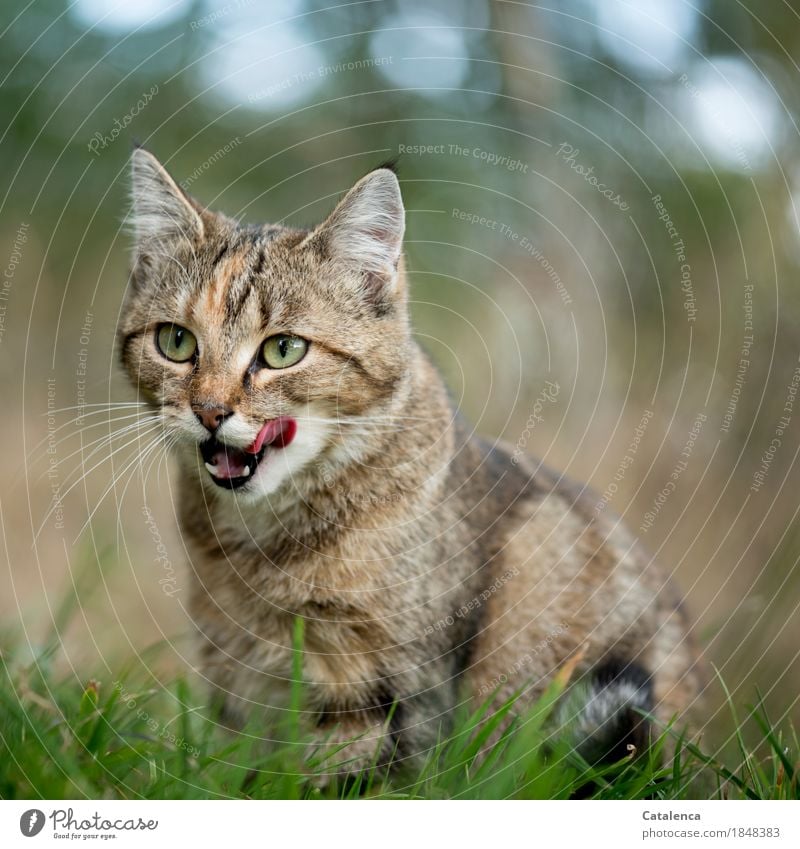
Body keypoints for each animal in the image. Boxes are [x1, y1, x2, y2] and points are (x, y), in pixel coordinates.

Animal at [119, 146, 700, 776]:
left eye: (283, 349)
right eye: (176, 341)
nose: (208, 411)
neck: (262, 544)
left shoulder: (373, 682)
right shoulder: (232, 664)